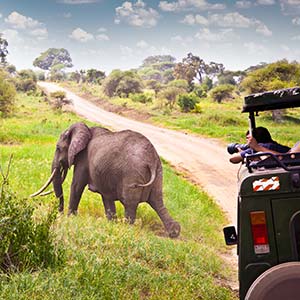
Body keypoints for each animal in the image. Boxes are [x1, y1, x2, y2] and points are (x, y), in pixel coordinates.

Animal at [34, 121, 182, 237]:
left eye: (58, 148)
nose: (59, 213)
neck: (86, 130)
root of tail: (151, 158)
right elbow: (106, 197)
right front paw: (111, 223)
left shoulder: (83, 159)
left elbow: (76, 186)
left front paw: (70, 218)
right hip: (158, 173)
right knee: (157, 201)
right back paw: (174, 232)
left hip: (132, 174)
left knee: (130, 203)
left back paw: (127, 229)